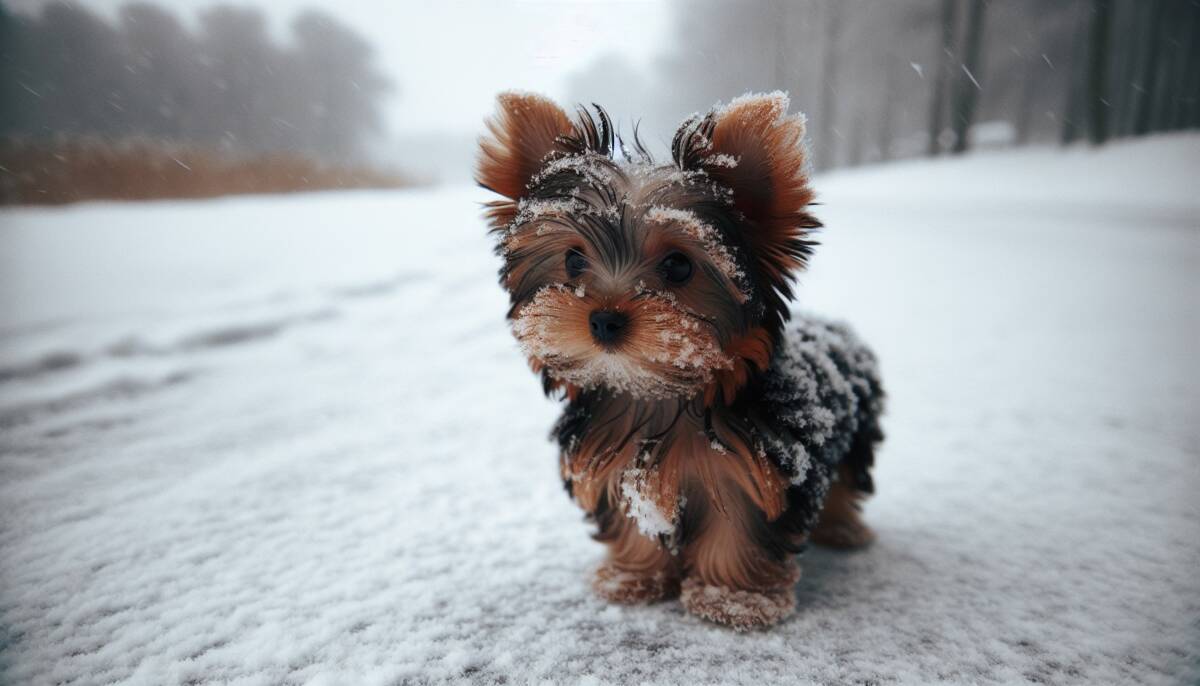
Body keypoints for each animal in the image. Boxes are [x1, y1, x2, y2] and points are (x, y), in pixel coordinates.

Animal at [475, 92, 883, 633]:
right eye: (573, 261)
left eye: (679, 265)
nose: (604, 319)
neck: (659, 397)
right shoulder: (617, 466)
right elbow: (633, 522)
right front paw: (632, 578)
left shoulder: (752, 470)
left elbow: (740, 530)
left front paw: (733, 600)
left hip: (855, 432)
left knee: (844, 480)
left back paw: (843, 529)